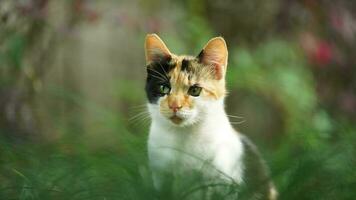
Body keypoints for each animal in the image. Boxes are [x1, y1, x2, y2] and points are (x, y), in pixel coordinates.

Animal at [143, 33, 276, 199]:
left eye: (195, 90)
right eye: (163, 88)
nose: (175, 105)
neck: (184, 136)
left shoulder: (224, 182)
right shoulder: (161, 176)